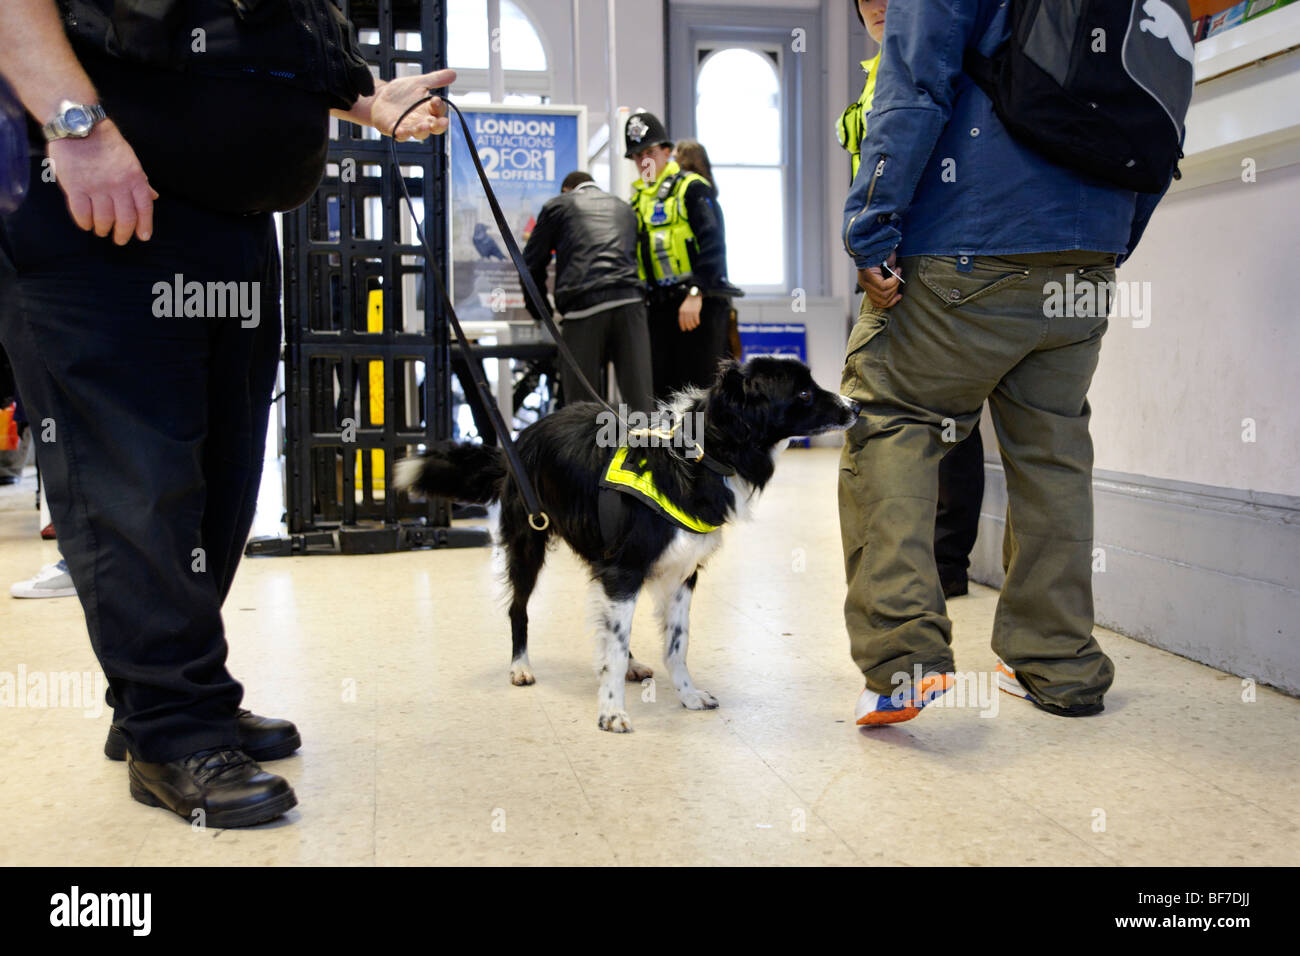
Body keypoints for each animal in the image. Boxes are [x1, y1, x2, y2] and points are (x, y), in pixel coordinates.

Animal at [395, 356, 863, 733]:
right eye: (804, 392)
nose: (856, 406)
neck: (698, 455)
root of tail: (519, 438)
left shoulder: (678, 573)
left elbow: (676, 643)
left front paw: (687, 695)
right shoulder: (625, 569)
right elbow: (615, 649)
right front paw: (611, 713)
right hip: (529, 539)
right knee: (519, 609)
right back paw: (521, 666)